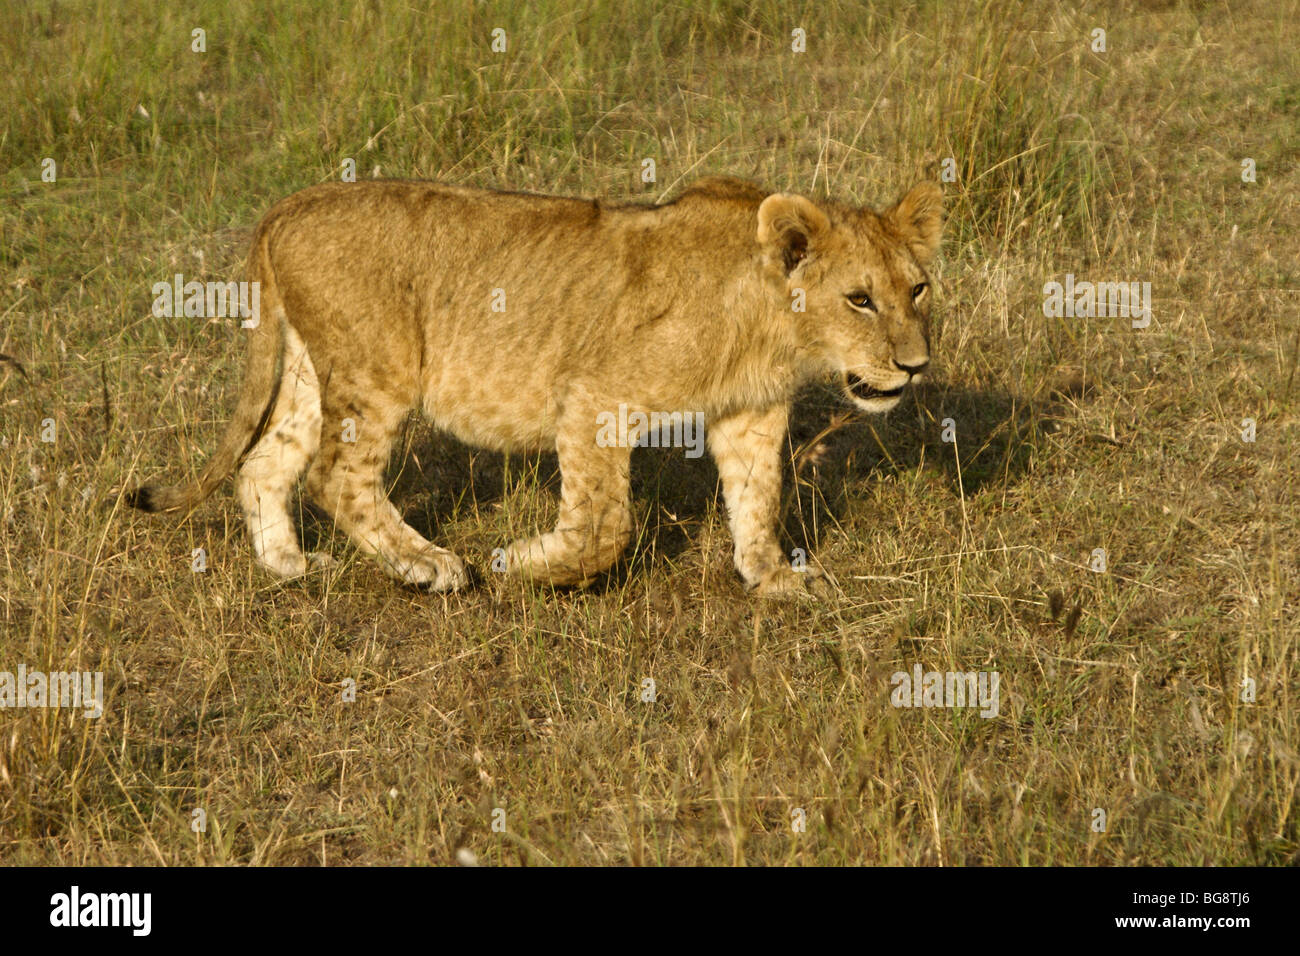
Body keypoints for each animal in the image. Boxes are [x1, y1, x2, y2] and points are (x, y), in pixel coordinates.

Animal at [128, 175, 942, 595]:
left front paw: (772, 576)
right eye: (859, 300)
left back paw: (290, 566)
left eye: (918, 289)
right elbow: (604, 527)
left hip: (308, 366)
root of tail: (289, 205)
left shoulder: (751, 411)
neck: (769, 322)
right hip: (377, 370)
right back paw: (430, 566)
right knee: (337, 477)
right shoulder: (594, 396)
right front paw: (522, 564)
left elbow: (758, 498)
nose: (914, 366)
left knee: (265, 462)